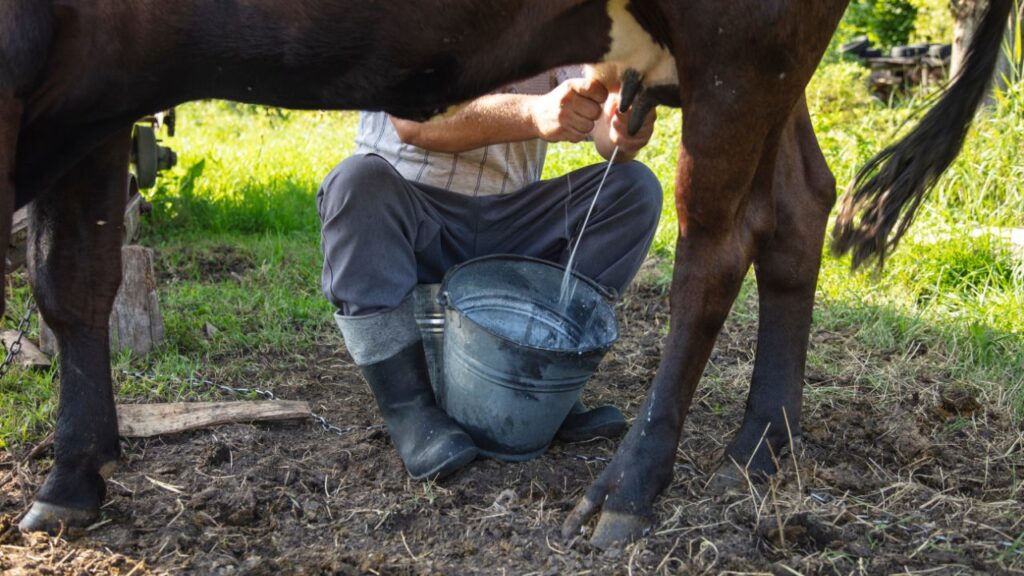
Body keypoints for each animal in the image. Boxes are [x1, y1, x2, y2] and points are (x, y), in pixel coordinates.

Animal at [4, 0, 1012, 547]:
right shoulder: (100, 93)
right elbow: (73, 282)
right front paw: (73, 475)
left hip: (742, 44)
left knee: (717, 247)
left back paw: (629, 488)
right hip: (765, 66)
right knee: (800, 210)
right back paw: (763, 443)